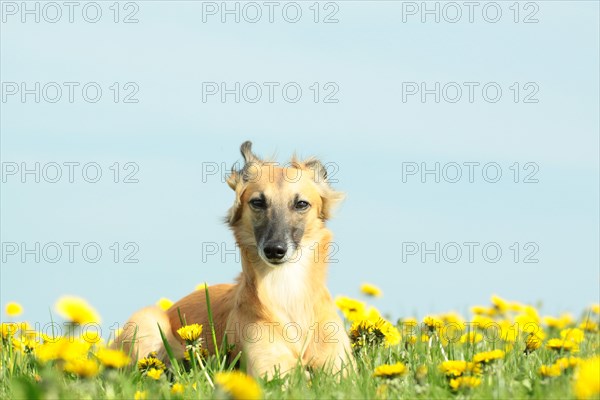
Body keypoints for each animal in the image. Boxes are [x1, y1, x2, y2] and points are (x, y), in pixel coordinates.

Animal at [113, 142, 352, 380]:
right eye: (257, 202)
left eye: (301, 204)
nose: (274, 250)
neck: (286, 290)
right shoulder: (268, 371)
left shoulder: (340, 371)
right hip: (146, 322)